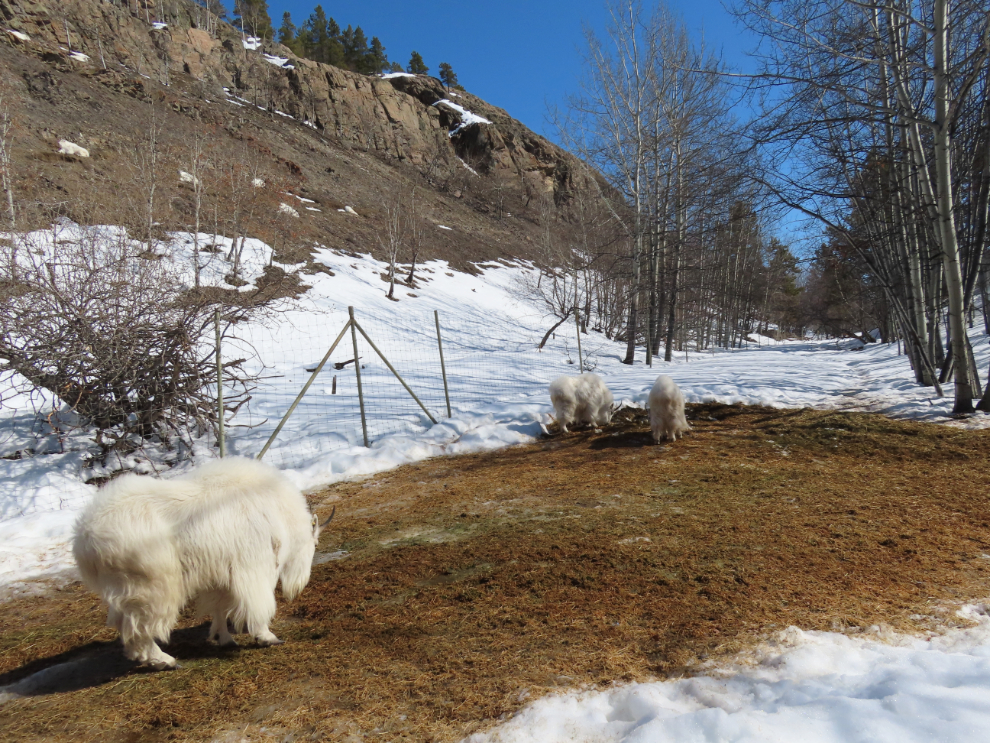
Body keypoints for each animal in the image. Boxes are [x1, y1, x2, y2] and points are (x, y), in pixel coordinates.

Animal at [72, 457, 333, 670]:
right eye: (315, 543)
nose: (300, 585)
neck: (279, 511)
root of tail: (85, 541)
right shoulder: (253, 566)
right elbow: (257, 602)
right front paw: (266, 637)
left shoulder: (220, 574)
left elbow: (219, 607)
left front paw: (224, 638)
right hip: (150, 589)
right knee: (139, 627)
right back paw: (162, 660)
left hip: (125, 590)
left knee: (122, 623)